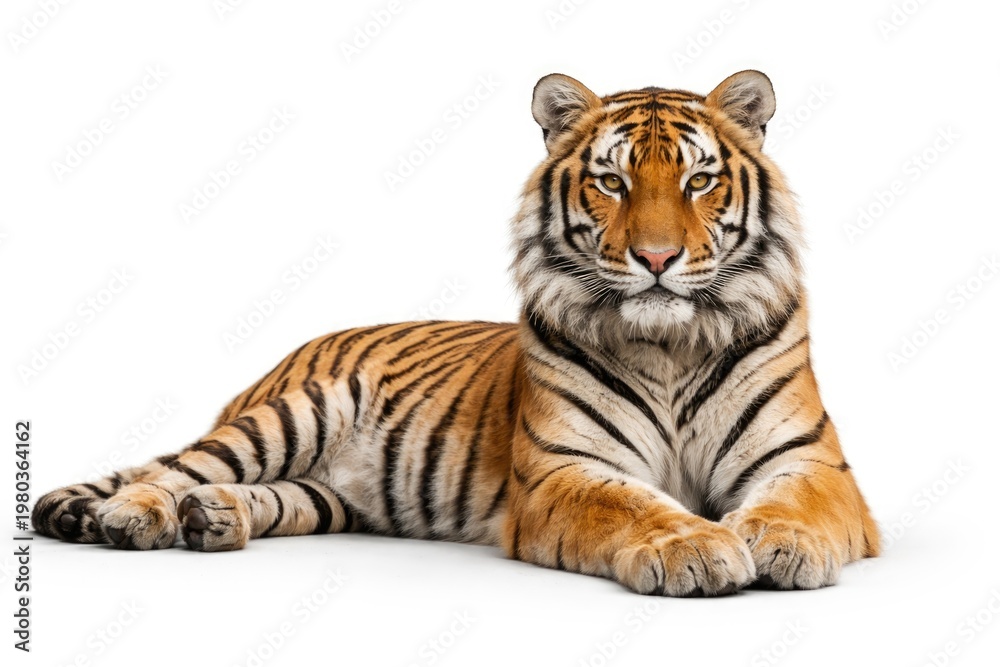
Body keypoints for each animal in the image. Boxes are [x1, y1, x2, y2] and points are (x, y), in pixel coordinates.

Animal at [33, 70, 880, 596]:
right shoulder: (565, 470)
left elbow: (794, 502)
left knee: (266, 495)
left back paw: (212, 518)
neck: (668, 345)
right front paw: (698, 546)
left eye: (699, 180)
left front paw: (781, 542)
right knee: (173, 467)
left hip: (329, 494)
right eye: (611, 181)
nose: (657, 258)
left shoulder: (812, 462)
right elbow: (637, 505)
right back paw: (132, 515)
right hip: (291, 415)